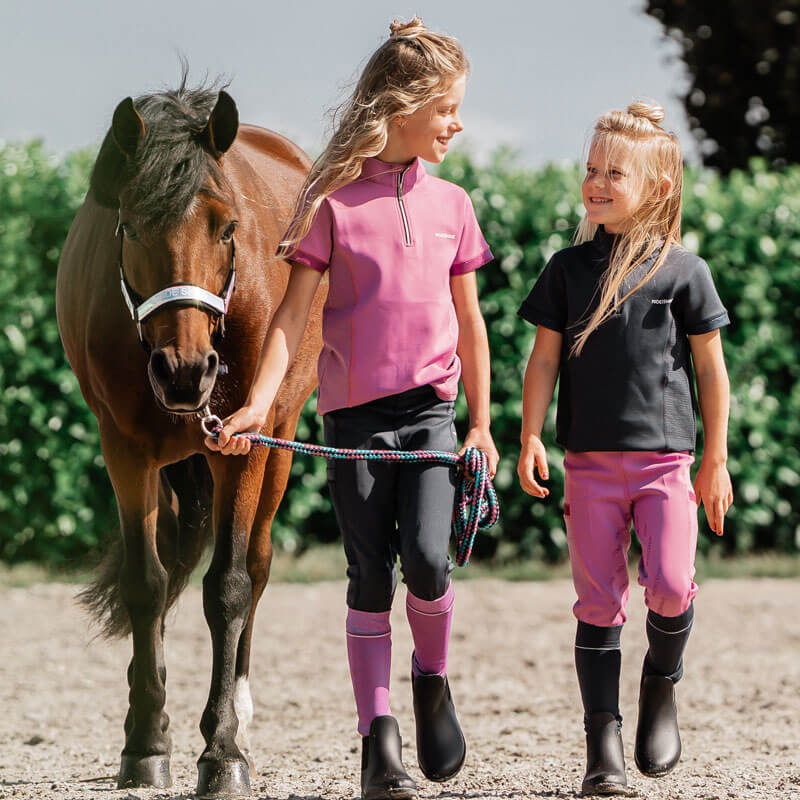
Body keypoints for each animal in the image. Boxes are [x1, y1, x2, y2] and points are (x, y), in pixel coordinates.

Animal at [56, 76, 325, 797]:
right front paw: (147, 740)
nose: (184, 371)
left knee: (256, 566)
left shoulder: (242, 446)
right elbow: (145, 584)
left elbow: (228, 587)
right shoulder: (124, 449)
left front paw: (223, 750)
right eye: (128, 225)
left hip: (280, 440)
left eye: (227, 226)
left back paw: (242, 709)